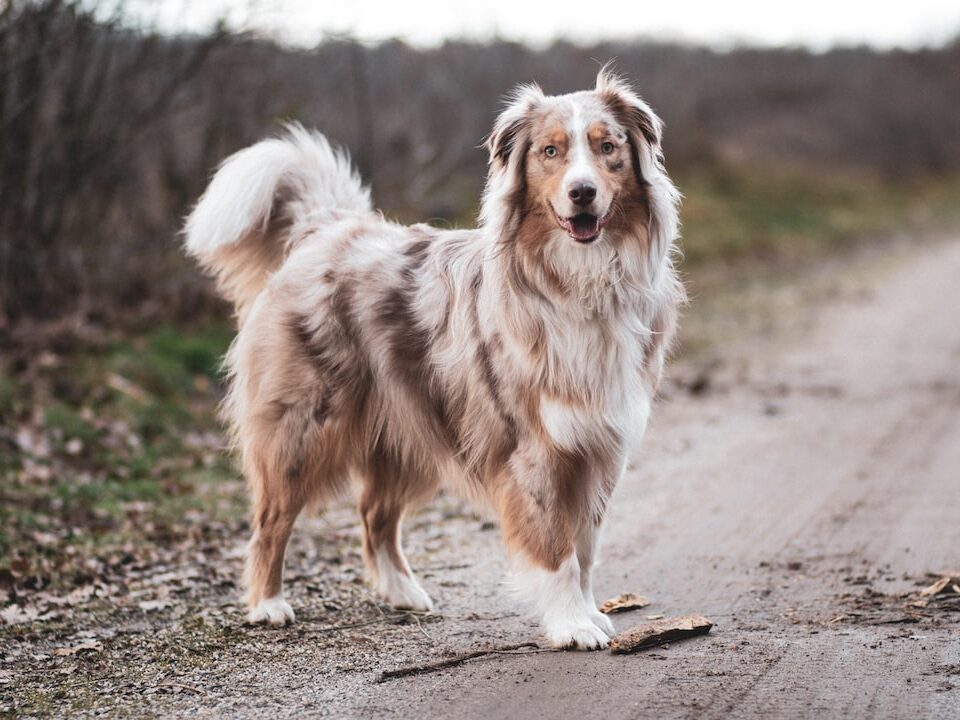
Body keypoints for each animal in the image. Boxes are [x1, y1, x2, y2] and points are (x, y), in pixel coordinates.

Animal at [184, 70, 684, 648]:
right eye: (550, 151)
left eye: (608, 147)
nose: (583, 192)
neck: (580, 280)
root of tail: (326, 228)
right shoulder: (535, 449)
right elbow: (557, 549)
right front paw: (571, 625)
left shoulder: (599, 446)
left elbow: (584, 548)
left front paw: (588, 613)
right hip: (303, 427)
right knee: (272, 519)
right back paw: (268, 604)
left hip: (409, 426)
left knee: (374, 513)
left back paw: (403, 592)